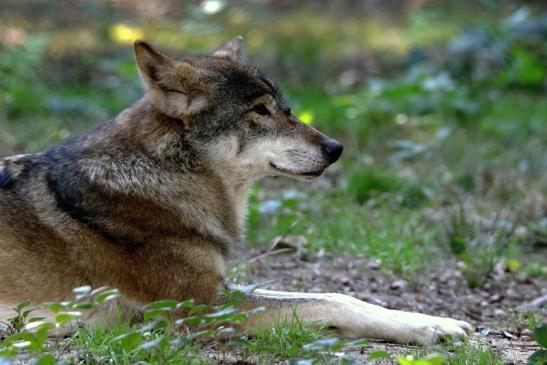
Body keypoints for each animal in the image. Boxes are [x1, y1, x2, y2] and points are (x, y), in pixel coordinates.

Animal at [0, 37, 470, 344]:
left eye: (286, 109)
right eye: (259, 112)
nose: (335, 149)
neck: (167, 179)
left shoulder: (222, 286)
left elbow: (335, 293)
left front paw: (429, 320)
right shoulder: (202, 305)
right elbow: (331, 302)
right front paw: (432, 326)